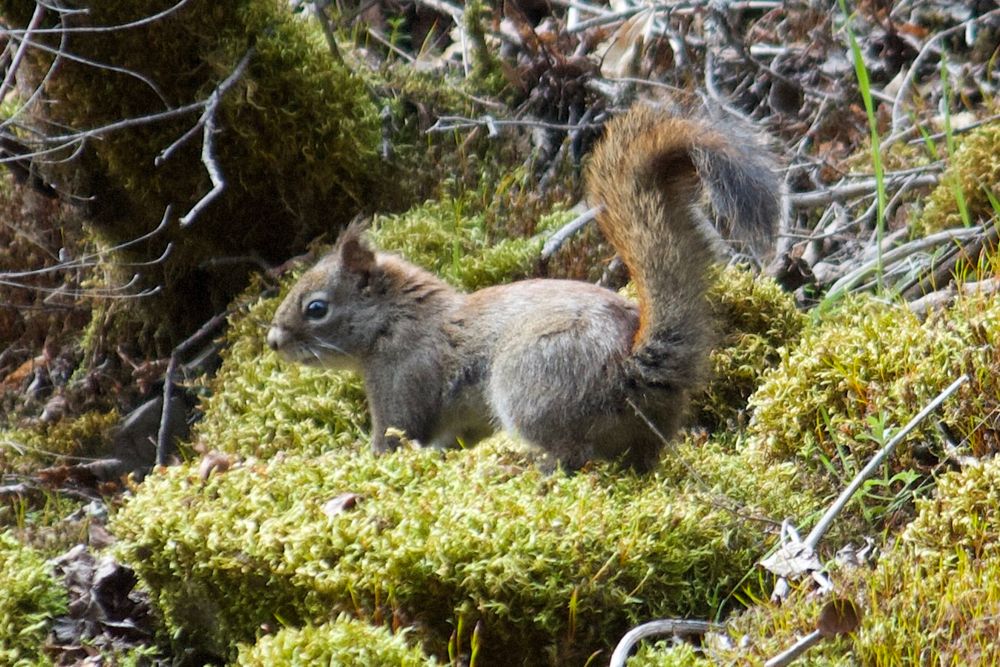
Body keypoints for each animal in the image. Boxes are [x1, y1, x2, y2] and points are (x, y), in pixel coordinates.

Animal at [266, 103, 780, 471]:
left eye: (316, 308)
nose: (273, 341)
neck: (399, 316)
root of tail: (632, 365)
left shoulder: (404, 375)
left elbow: (394, 437)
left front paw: (357, 463)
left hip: (529, 384)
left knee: (573, 457)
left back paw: (523, 470)